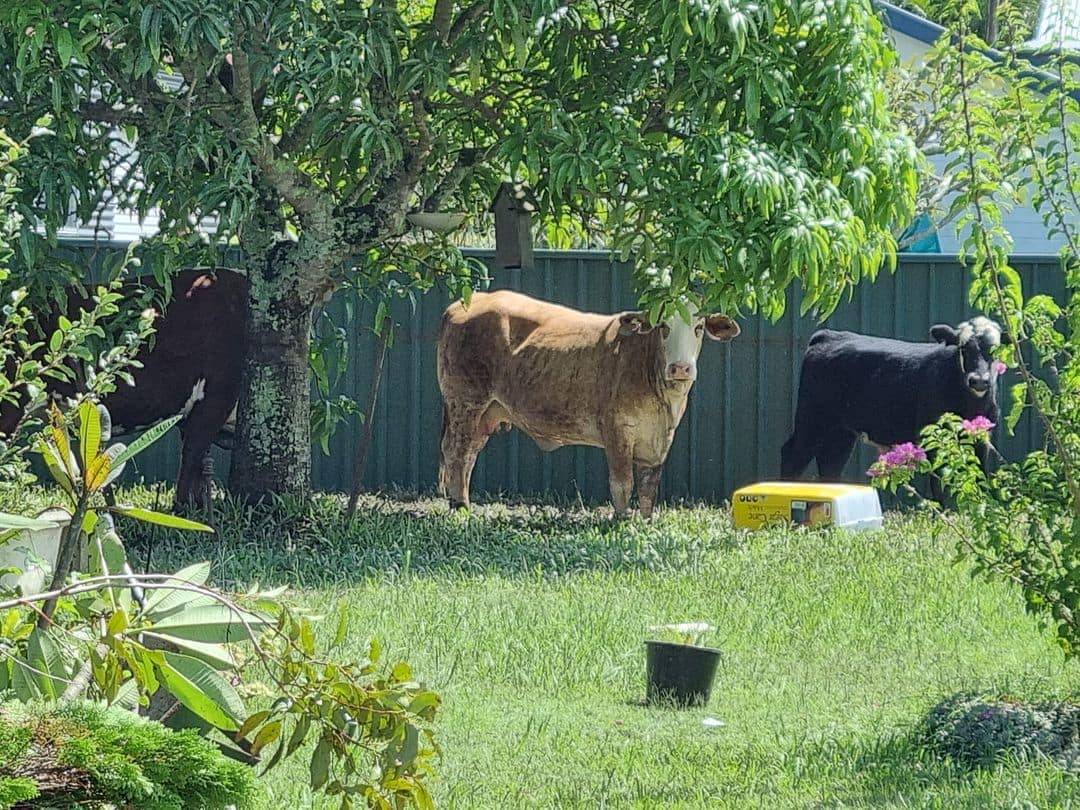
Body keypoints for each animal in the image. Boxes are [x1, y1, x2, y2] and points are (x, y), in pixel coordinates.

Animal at [436, 290, 740, 517]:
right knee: (456, 452)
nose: (680, 368)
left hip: (484, 413)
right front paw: (620, 519)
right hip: (465, 402)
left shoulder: (659, 441)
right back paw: (460, 506)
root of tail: (467, 302)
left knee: (469, 453)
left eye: (698, 328)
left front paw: (646, 520)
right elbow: (622, 482)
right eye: (663, 326)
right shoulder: (617, 430)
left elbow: (648, 487)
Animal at [780, 316, 1009, 485]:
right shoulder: (934, 437)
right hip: (812, 419)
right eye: (964, 348)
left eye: (995, 350)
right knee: (793, 454)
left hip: (841, 430)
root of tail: (829, 335)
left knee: (831, 461)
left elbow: (979, 476)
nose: (978, 380)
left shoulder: (982, 438)